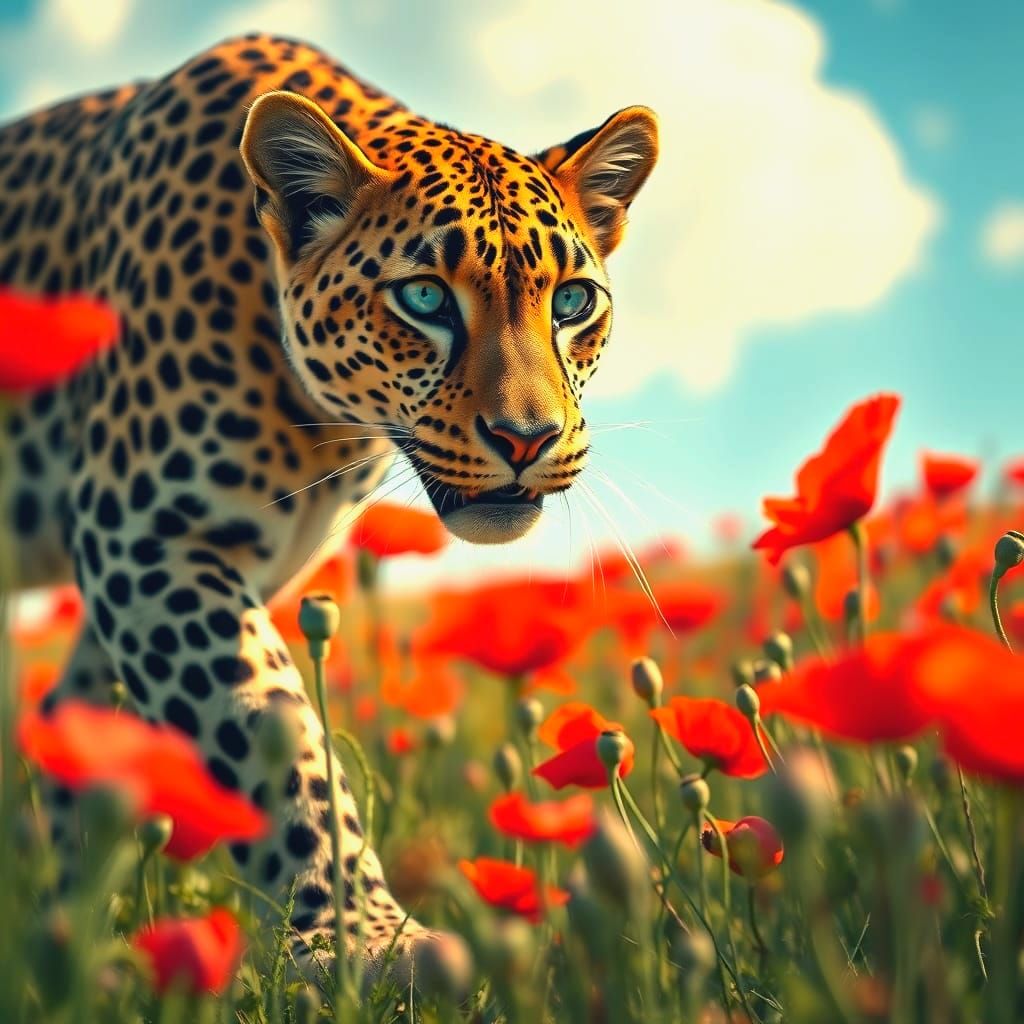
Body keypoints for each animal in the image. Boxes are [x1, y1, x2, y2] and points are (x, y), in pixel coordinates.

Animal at [0, 33, 658, 991]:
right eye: (424, 299)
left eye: (573, 302)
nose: (528, 438)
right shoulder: (147, 542)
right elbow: (273, 734)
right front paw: (360, 935)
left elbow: (80, 734)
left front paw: (66, 938)